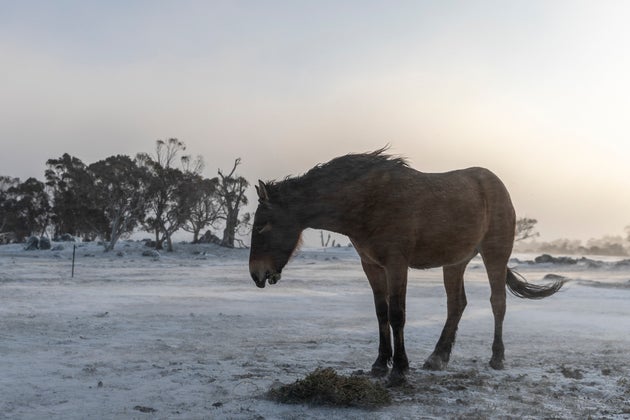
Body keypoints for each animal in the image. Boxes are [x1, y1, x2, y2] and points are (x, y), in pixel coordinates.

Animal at [249, 149, 564, 386]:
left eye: (264, 226)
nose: (257, 274)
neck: (368, 201)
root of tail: (495, 184)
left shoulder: (396, 264)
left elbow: (397, 314)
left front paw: (399, 370)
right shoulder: (372, 266)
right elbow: (381, 313)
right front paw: (380, 364)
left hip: (494, 255)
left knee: (497, 302)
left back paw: (497, 358)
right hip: (455, 263)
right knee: (456, 304)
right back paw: (438, 357)